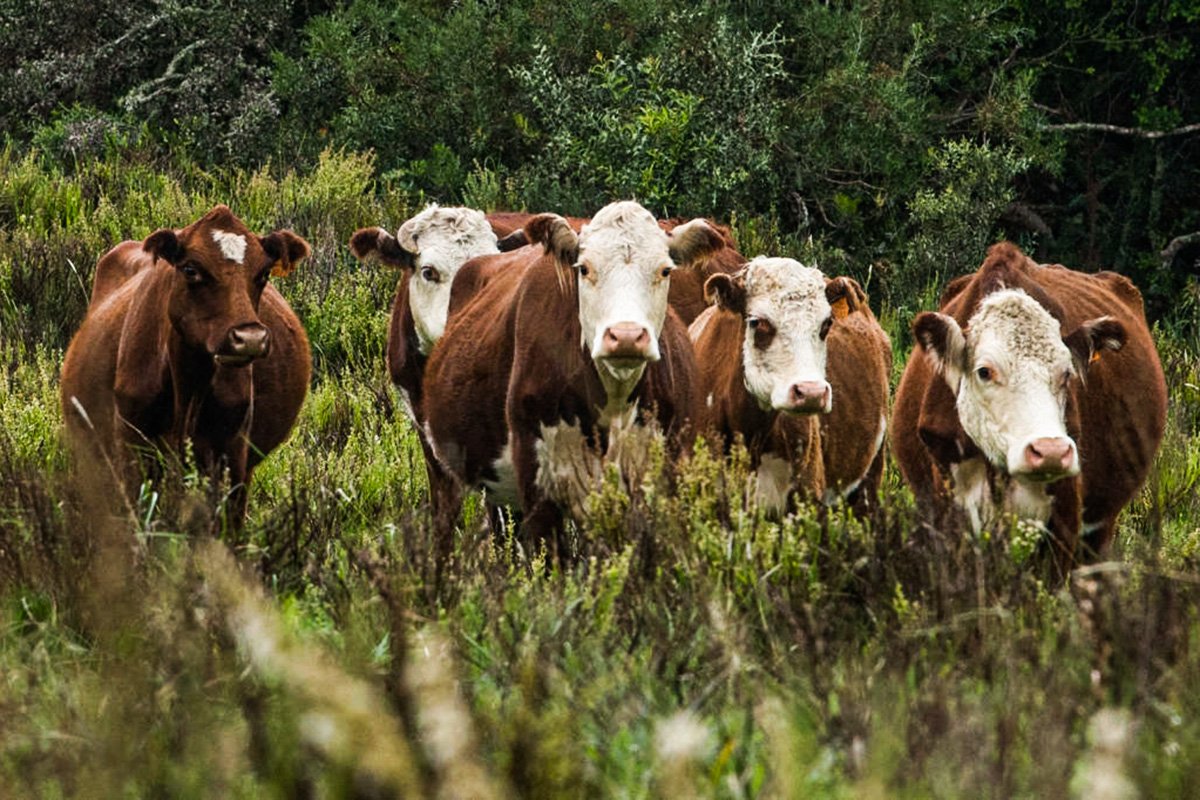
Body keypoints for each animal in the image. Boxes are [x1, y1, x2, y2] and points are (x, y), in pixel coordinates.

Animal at [422, 199, 720, 556]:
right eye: (585, 268)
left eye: (665, 270)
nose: (626, 336)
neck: (611, 408)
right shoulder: (539, 490)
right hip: (442, 469)